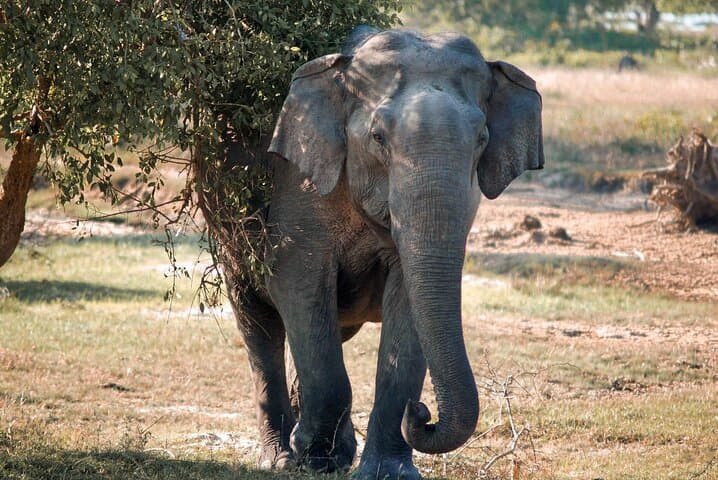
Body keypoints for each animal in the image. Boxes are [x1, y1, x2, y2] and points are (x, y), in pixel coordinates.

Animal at [226, 26, 544, 480]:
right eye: (377, 138)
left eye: (482, 139)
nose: (422, 412)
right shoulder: (299, 184)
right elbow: (296, 284)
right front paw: (313, 460)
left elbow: (408, 304)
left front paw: (386, 472)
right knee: (259, 323)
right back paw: (283, 457)